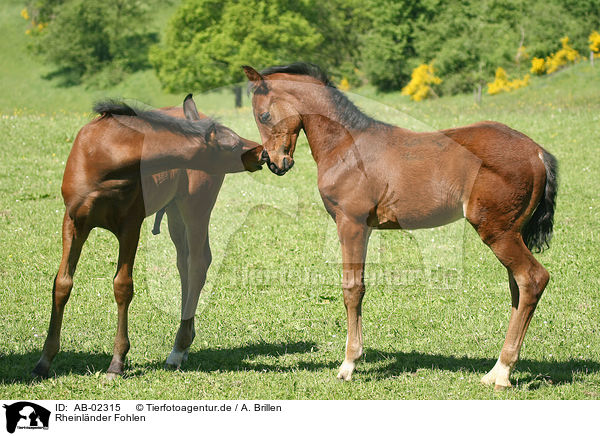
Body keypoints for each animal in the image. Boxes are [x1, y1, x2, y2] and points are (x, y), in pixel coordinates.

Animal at [32, 94, 262, 378]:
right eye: (232, 143)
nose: (262, 151)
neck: (104, 157)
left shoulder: (130, 225)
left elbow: (122, 286)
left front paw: (117, 362)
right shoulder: (73, 222)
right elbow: (62, 284)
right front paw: (44, 360)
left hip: (196, 206)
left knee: (198, 263)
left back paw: (178, 348)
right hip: (175, 211)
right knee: (185, 264)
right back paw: (184, 345)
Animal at [244, 62, 556, 392]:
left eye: (263, 115)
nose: (274, 162)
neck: (346, 144)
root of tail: (536, 152)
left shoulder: (350, 223)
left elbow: (352, 288)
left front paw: (349, 364)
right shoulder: (366, 228)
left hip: (498, 233)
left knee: (532, 279)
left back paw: (503, 372)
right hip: (513, 234)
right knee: (517, 287)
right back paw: (498, 370)